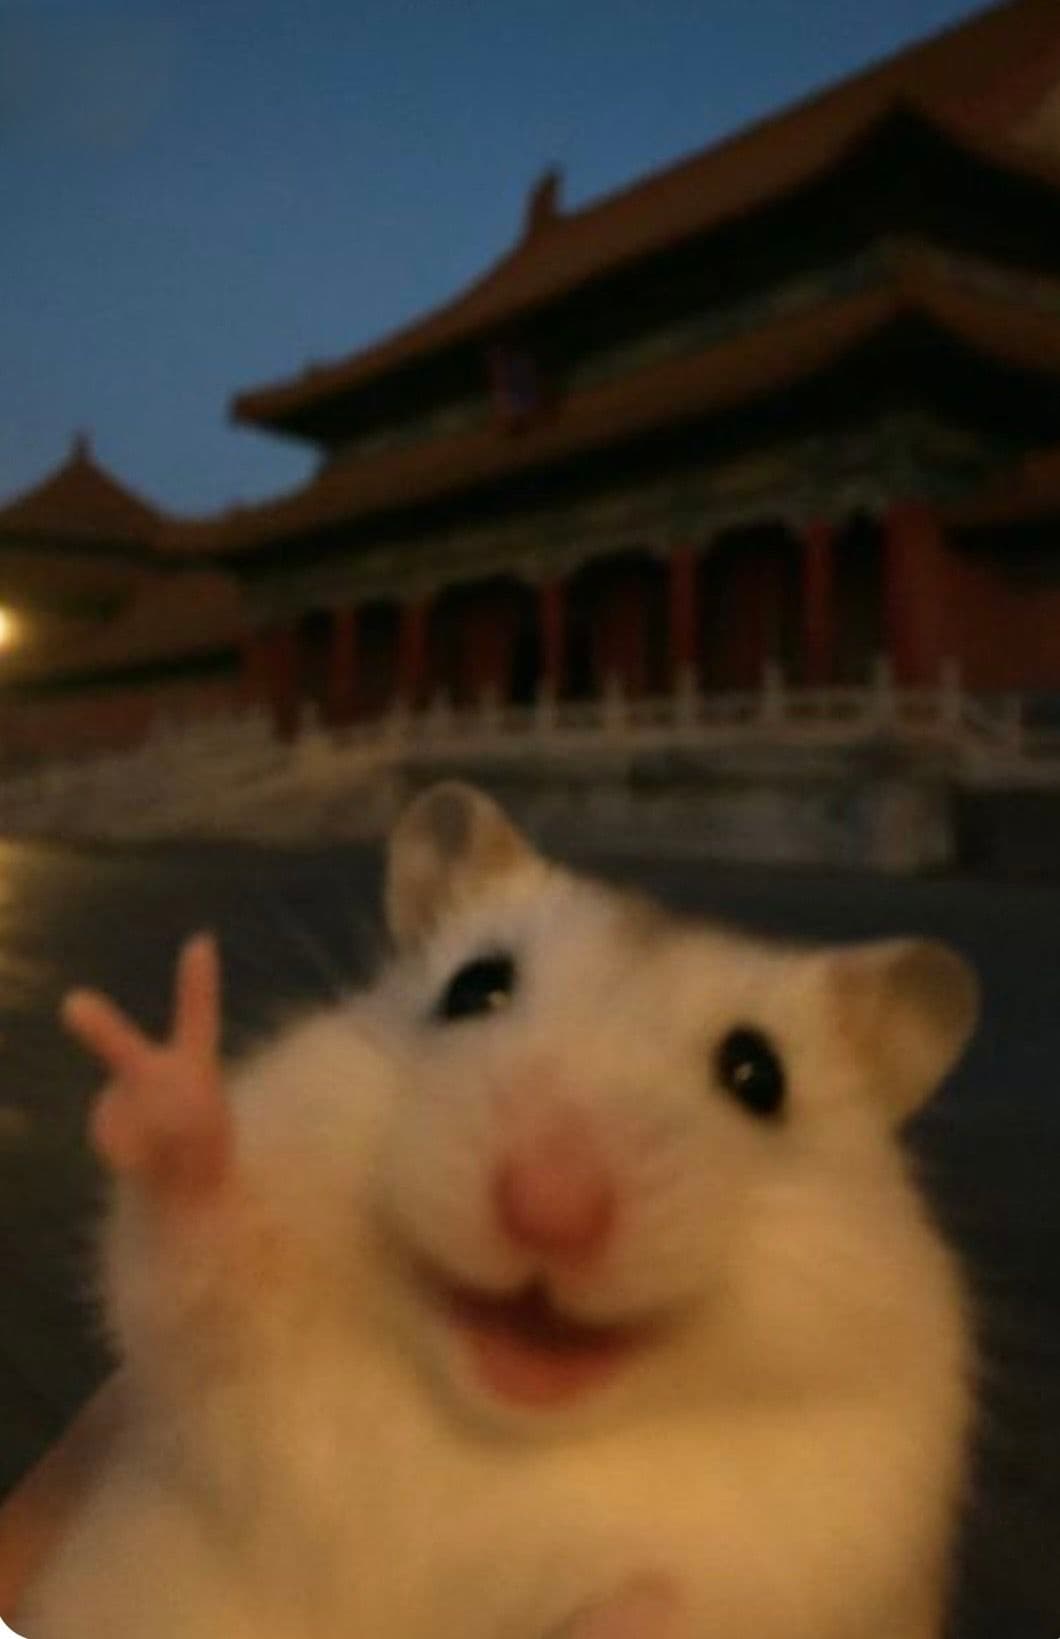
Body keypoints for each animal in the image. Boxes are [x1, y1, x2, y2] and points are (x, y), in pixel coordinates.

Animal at [17, 781, 978, 1639]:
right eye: (473, 988)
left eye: (760, 1077)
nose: (550, 1211)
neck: (502, 1430)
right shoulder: (242, 1382)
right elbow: (204, 1264)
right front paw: (172, 1086)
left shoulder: (823, 1545)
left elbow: (672, 1604)